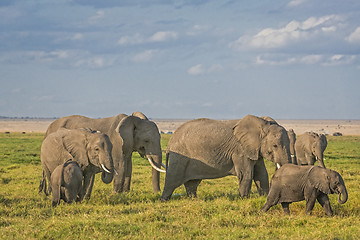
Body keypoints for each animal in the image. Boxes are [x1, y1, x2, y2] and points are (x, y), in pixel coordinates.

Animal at [160, 114, 292, 201]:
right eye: (275, 145)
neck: (262, 123)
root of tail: (170, 141)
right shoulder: (240, 150)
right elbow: (246, 174)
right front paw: (244, 199)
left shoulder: (255, 149)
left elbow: (262, 174)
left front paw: (264, 197)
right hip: (179, 158)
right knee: (172, 180)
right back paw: (164, 200)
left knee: (192, 183)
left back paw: (193, 200)